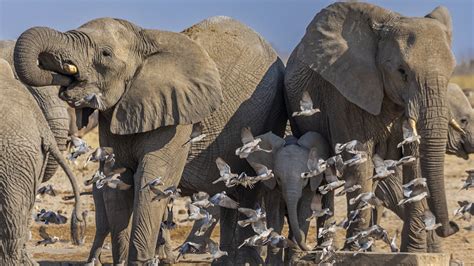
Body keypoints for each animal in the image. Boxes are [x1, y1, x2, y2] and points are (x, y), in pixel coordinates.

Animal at [14, 16, 286, 264]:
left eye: (105, 53)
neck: (144, 38)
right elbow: (117, 181)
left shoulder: (177, 114)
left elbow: (150, 179)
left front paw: (142, 260)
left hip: (272, 111)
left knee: (248, 191)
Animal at [284, 1, 462, 249]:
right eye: (402, 72)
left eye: (452, 72)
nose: (452, 227)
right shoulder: (344, 94)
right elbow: (359, 163)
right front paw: (353, 251)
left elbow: (414, 161)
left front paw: (417, 251)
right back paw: (326, 249)